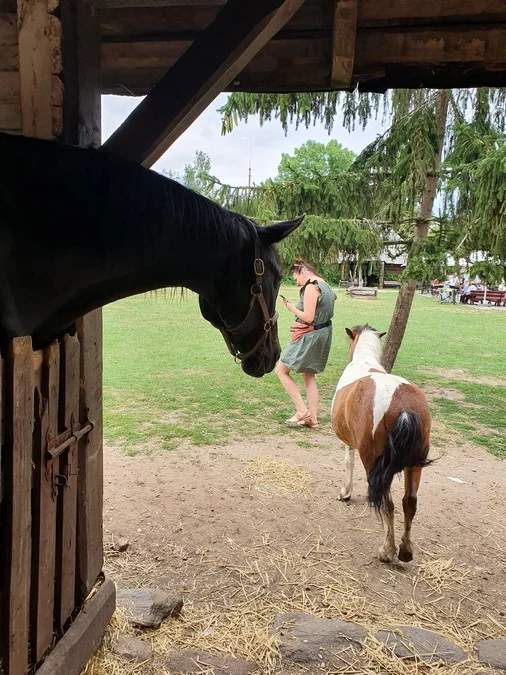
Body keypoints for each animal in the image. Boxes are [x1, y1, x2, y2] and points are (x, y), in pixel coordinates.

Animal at [332, 326, 430, 564]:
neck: (364, 362)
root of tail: (402, 406)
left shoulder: (349, 442)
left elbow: (348, 463)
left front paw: (345, 493)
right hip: (415, 466)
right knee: (410, 502)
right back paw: (405, 550)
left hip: (374, 462)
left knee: (388, 503)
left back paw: (387, 550)